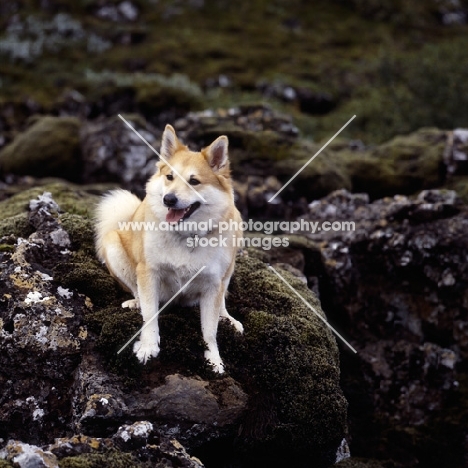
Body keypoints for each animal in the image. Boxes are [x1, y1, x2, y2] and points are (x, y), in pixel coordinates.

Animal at [93, 124, 243, 372]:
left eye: (194, 181)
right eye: (170, 177)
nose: (169, 199)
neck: (186, 237)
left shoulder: (213, 284)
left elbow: (210, 331)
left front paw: (214, 359)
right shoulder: (149, 273)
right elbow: (150, 315)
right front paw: (148, 346)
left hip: (229, 268)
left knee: (222, 300)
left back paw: (227, 318)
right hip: (113, 244)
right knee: (135, 290)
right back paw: (135, 302)